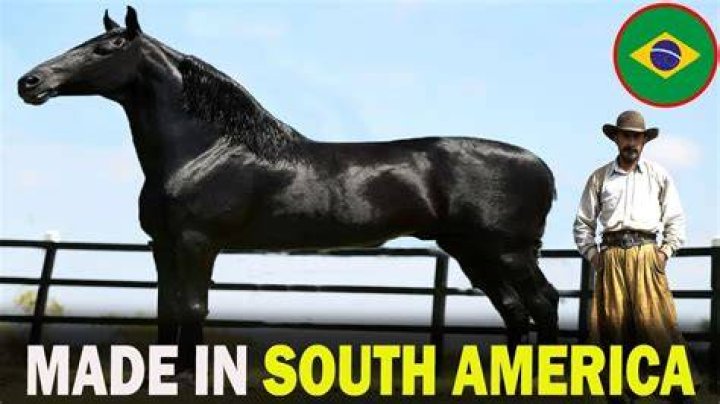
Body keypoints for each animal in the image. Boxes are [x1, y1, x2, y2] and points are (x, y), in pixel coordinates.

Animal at [18, 7, 559, 370]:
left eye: (104, 48)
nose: (30, 82)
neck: (204, 153)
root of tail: (539, 165)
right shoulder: (163, 245)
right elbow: (166, 309)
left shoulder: (197, 243)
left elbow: (192, 307)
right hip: (471, 251)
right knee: (513, 310)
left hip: (508, 251)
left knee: (542, 303)